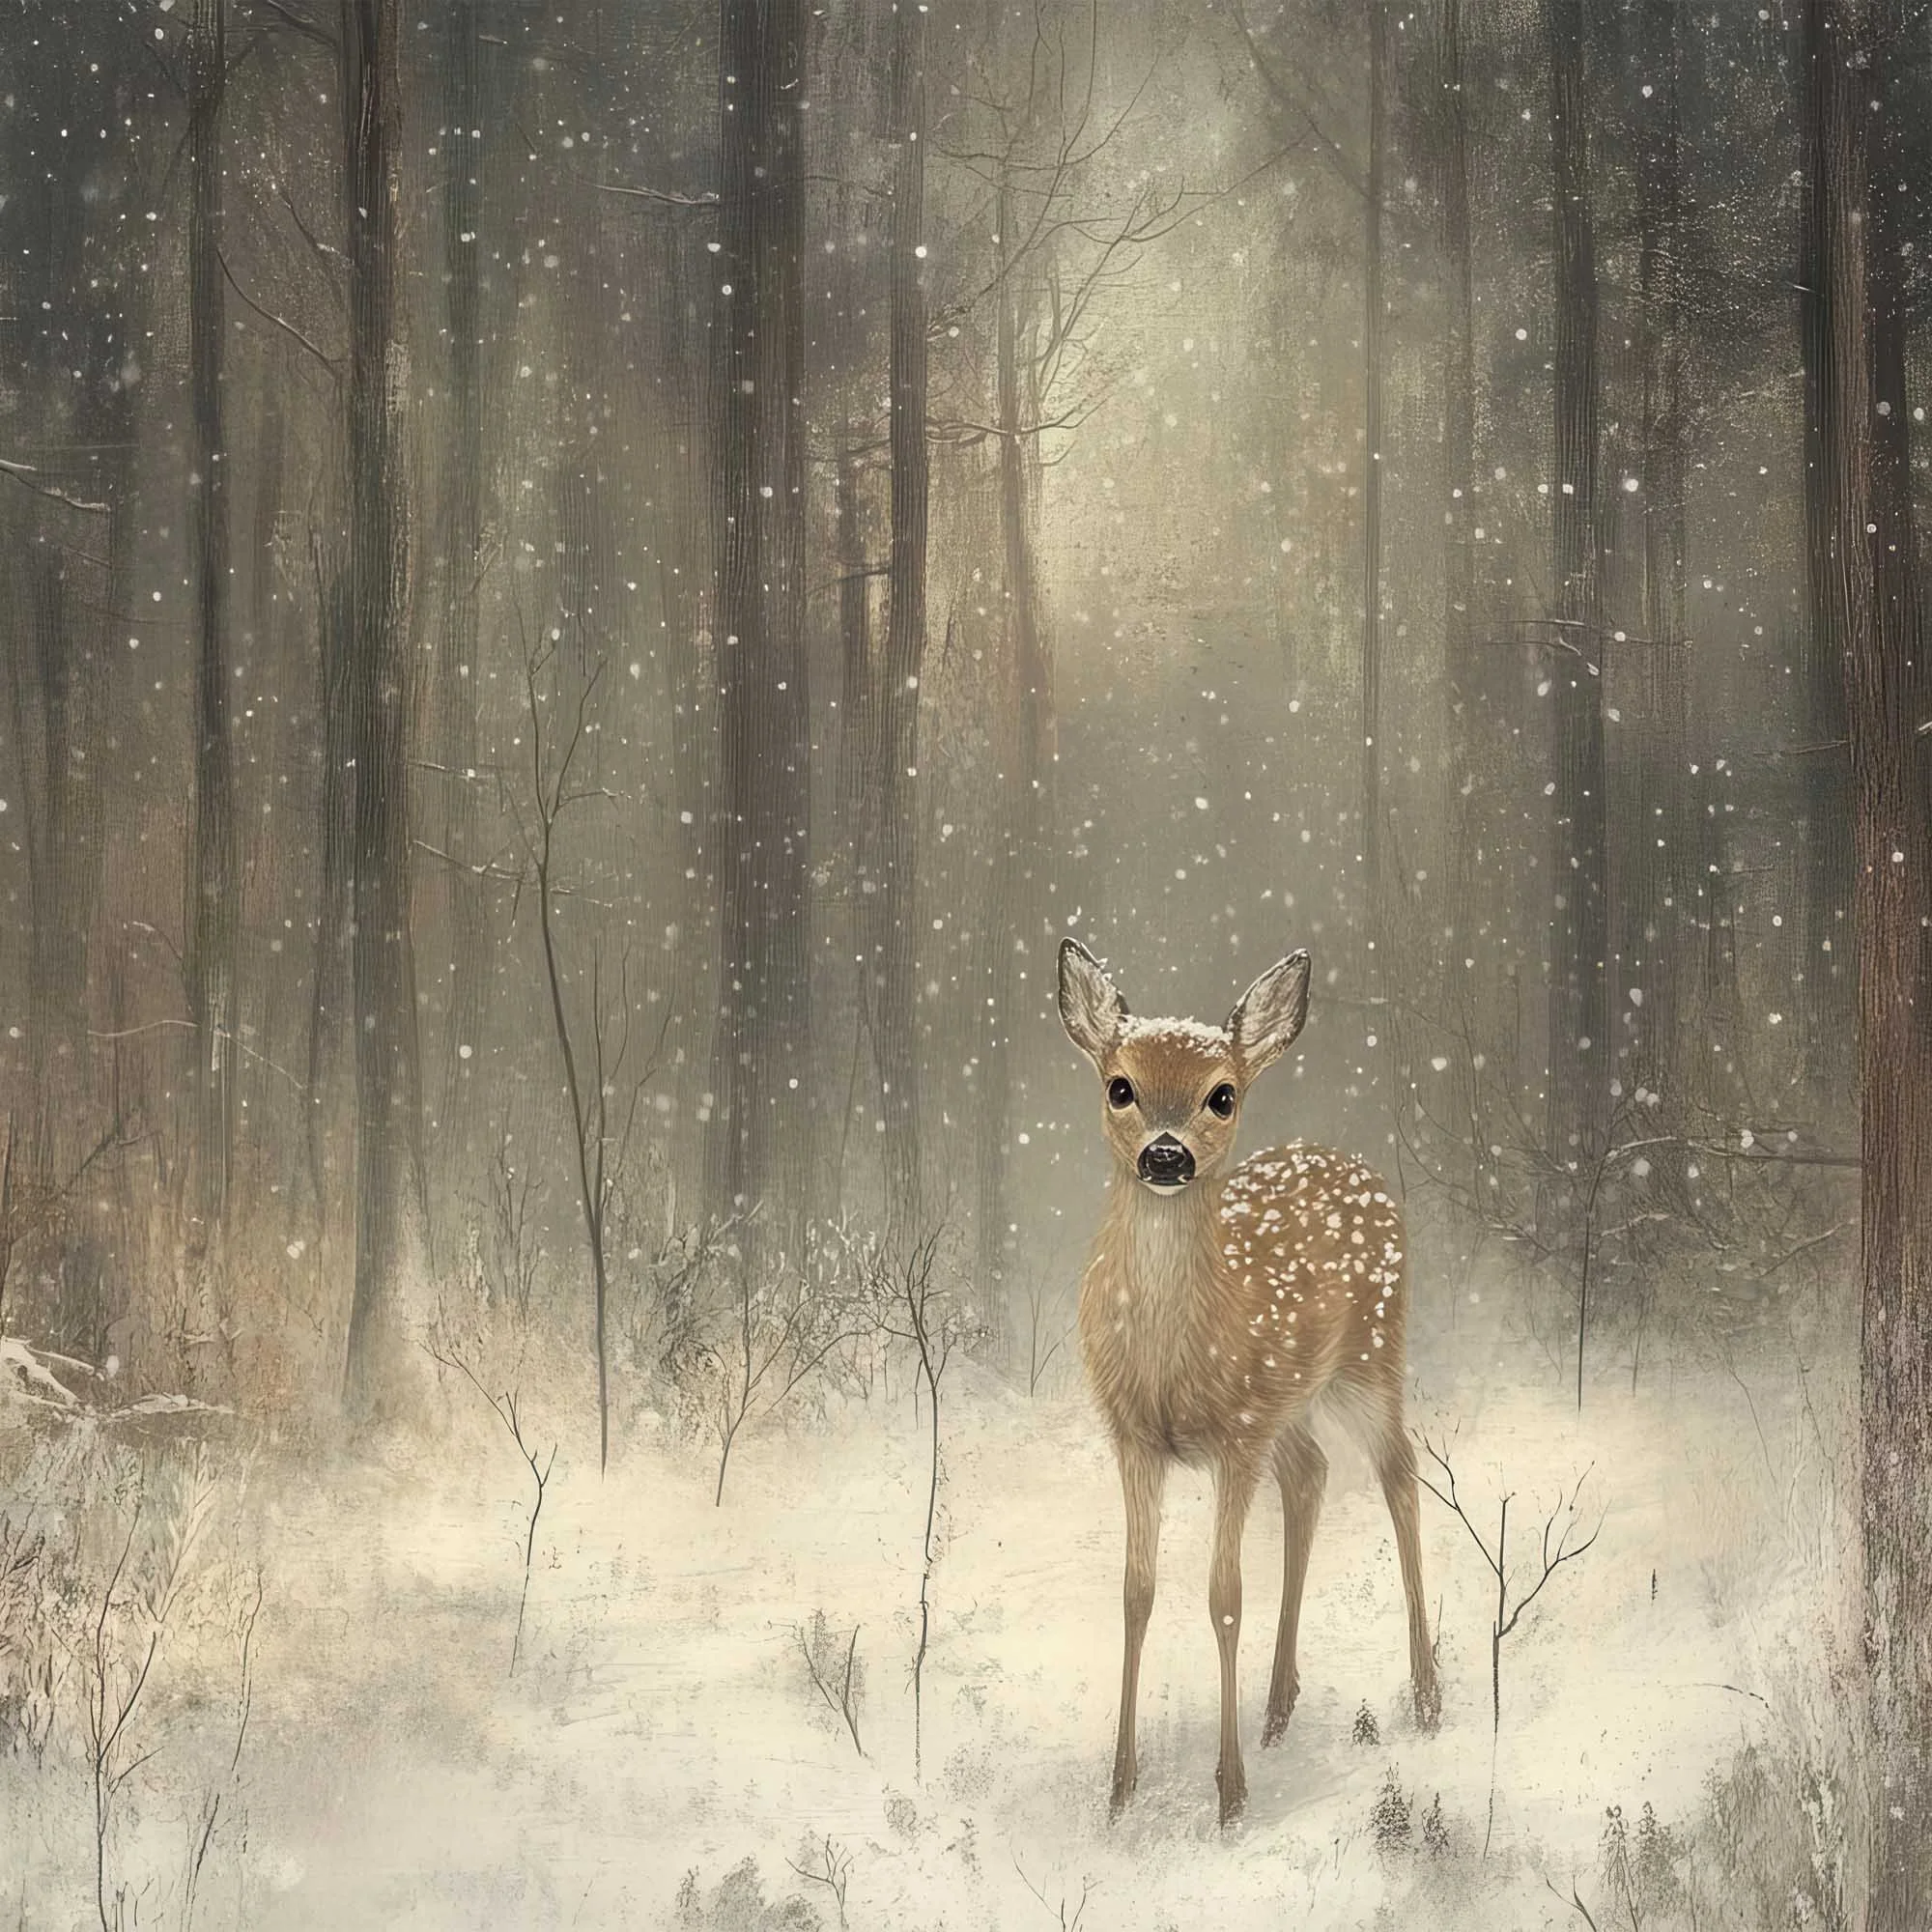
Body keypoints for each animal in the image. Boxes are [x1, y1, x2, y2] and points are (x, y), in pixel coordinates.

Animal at [1056, 938, 1438, 1827]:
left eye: (1221, 1095)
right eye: (1119, 1085)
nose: (1166, 1154)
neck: (1174, 1358)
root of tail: (1352, 1161)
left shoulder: (1235, 1435)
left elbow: (1223, 1596)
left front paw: (1229, 1799)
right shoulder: (1133, 1435)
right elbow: (1136, 1593)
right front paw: (1120, 1792)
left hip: (1372, 1356)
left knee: (1401, 1472)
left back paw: (1427, 1695)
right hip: (1290, 1403)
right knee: (1312, 1474)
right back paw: (1277, 1708)